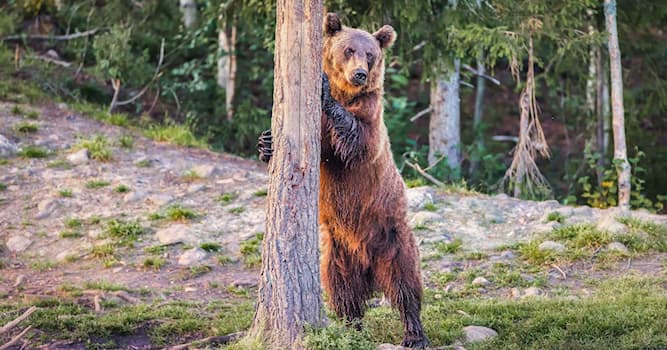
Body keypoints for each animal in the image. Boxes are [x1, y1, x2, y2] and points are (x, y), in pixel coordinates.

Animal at [258, 12, 428, 348]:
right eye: (349, 49)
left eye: (370, 53)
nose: (360, 74)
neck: (347, 94)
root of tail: (369, 269)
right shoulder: (318, 131)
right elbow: (312, 150)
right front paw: (266, 143)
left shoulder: (370, 114)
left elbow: (356, 141)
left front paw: (324, 90)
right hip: (337, 251)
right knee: (343, 291)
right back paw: (352, 327)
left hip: (391, 236)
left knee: (405, 284)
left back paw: (414, 333)